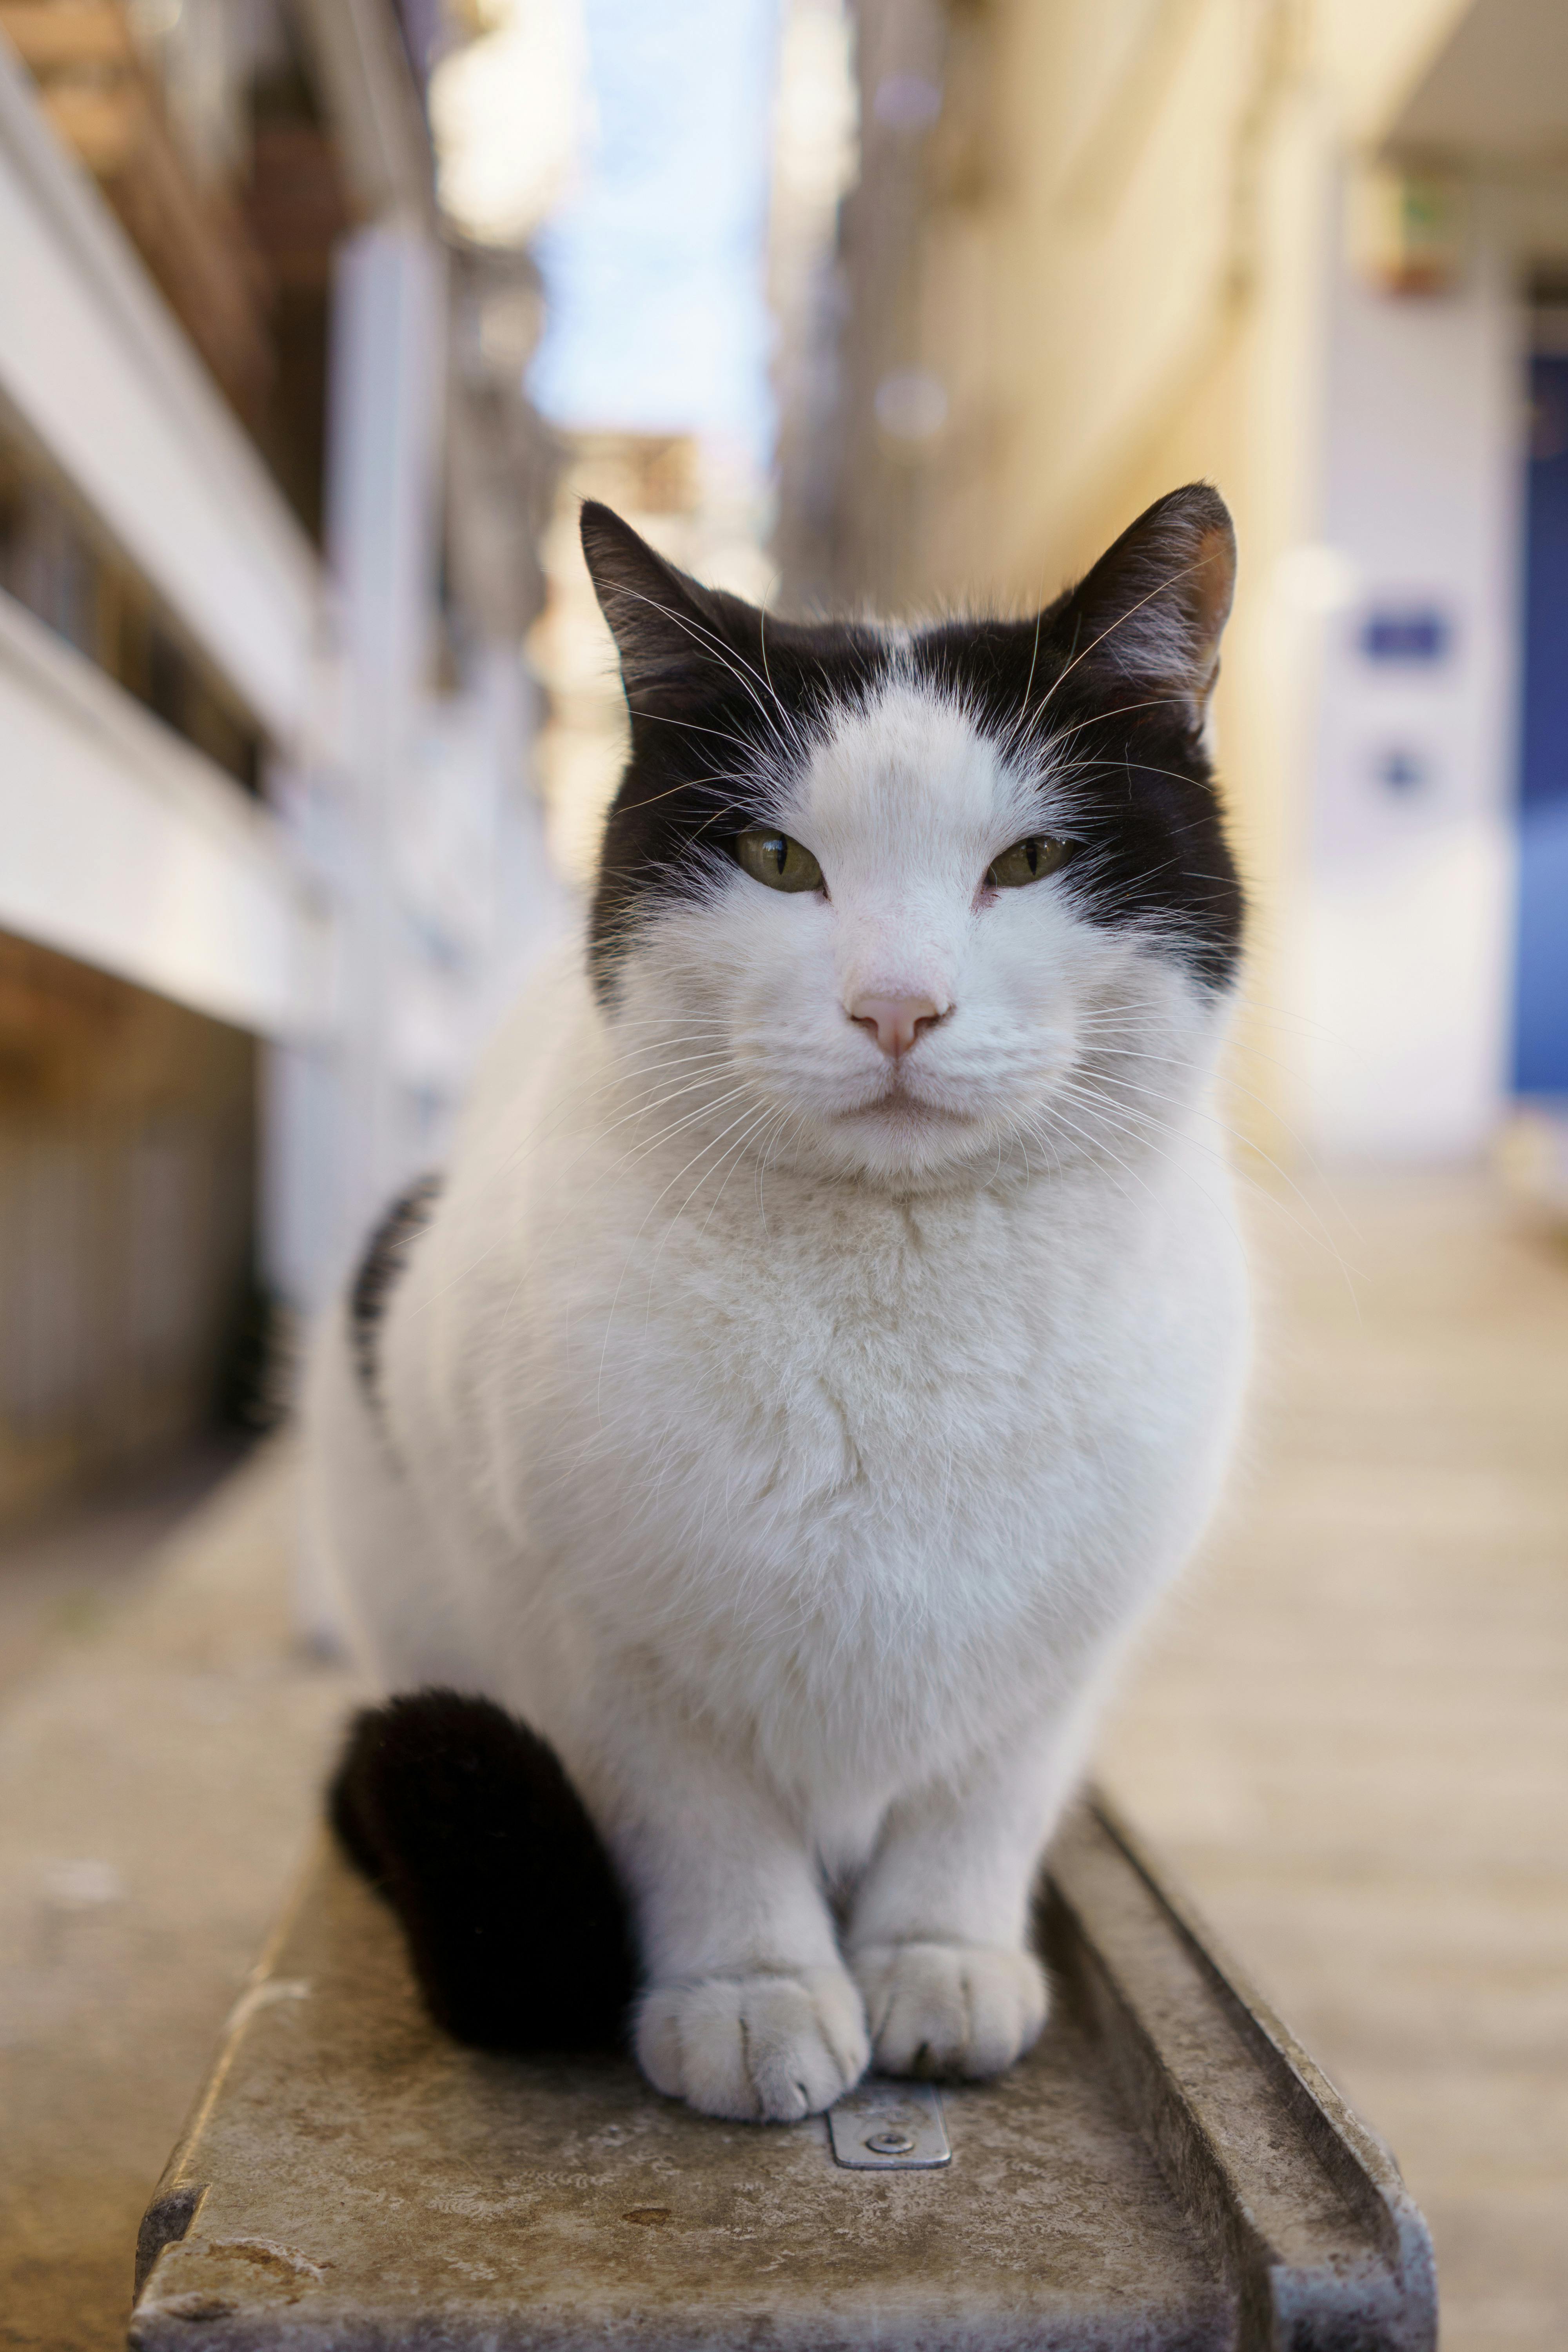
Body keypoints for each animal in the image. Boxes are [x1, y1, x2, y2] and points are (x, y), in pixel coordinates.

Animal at [312, 482, 1260, 2136]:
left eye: (1029, 861)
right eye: (773, 857)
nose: (896, 1006)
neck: (904, 1298)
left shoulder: (1068, 1638)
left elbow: (984, 1798)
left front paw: (941, 1957)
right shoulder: (590, 1619)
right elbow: (698, 1814)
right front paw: (748, 1992)